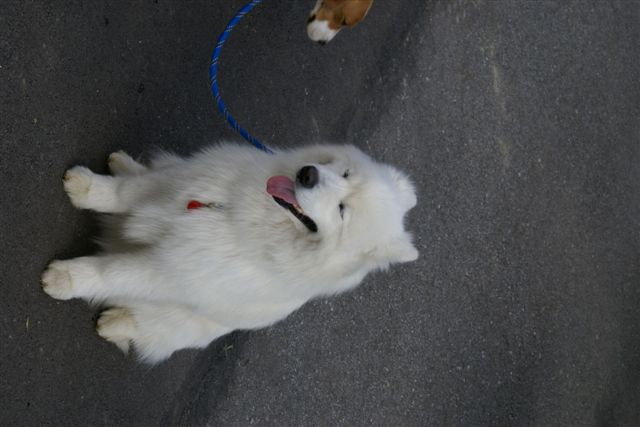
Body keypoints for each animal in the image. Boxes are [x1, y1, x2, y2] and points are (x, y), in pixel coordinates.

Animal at [42, 145, 418, 364]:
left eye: (343, 211)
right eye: (345, 173)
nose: (308, 173)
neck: (240, 215)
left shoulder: (168, 269)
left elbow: (110, 273)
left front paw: (63, 279)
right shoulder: (173, 185)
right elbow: (121, 193)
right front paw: (85, 187)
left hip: (177, 323)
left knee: (145, 328)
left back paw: (114, 323)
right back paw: (124, 164)